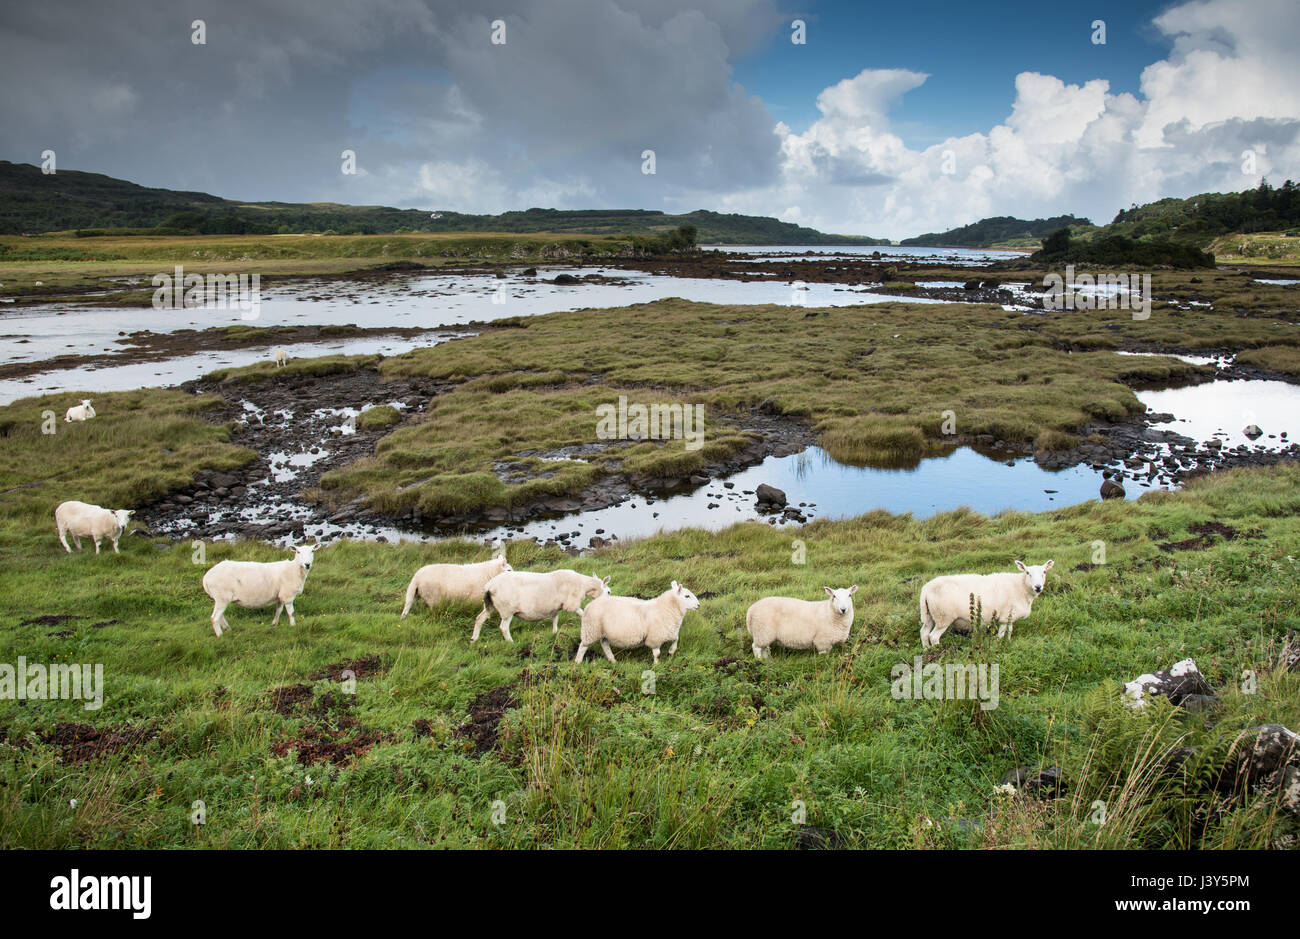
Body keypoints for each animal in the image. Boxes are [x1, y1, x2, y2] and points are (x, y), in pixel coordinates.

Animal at [470, 567, 605, 639]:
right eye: (608, 591)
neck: (584, 584)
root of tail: (489, 586)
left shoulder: (556, 607)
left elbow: (555, 619)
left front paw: (554, 632)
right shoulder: (570, 604)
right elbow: (581, 613)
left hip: (490, 605)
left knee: (480, 618)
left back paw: (474, 639)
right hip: (507, 610)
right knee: (503, 627)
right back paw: (510, 642)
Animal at [920, 556, 1050, 645]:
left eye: (1044, 572)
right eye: (1028, 573)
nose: (1038, 587)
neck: (1021, 587)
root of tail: (926, 589)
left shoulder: (1010, 617)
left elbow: (1009, 631)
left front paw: (1007, 643)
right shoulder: (1004, 617)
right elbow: (1001, 634)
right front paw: (999, 645)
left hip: (929, 614)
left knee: (924, 633)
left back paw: (927, 650)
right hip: (943, 616)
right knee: (933, 636)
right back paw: (937, 649)